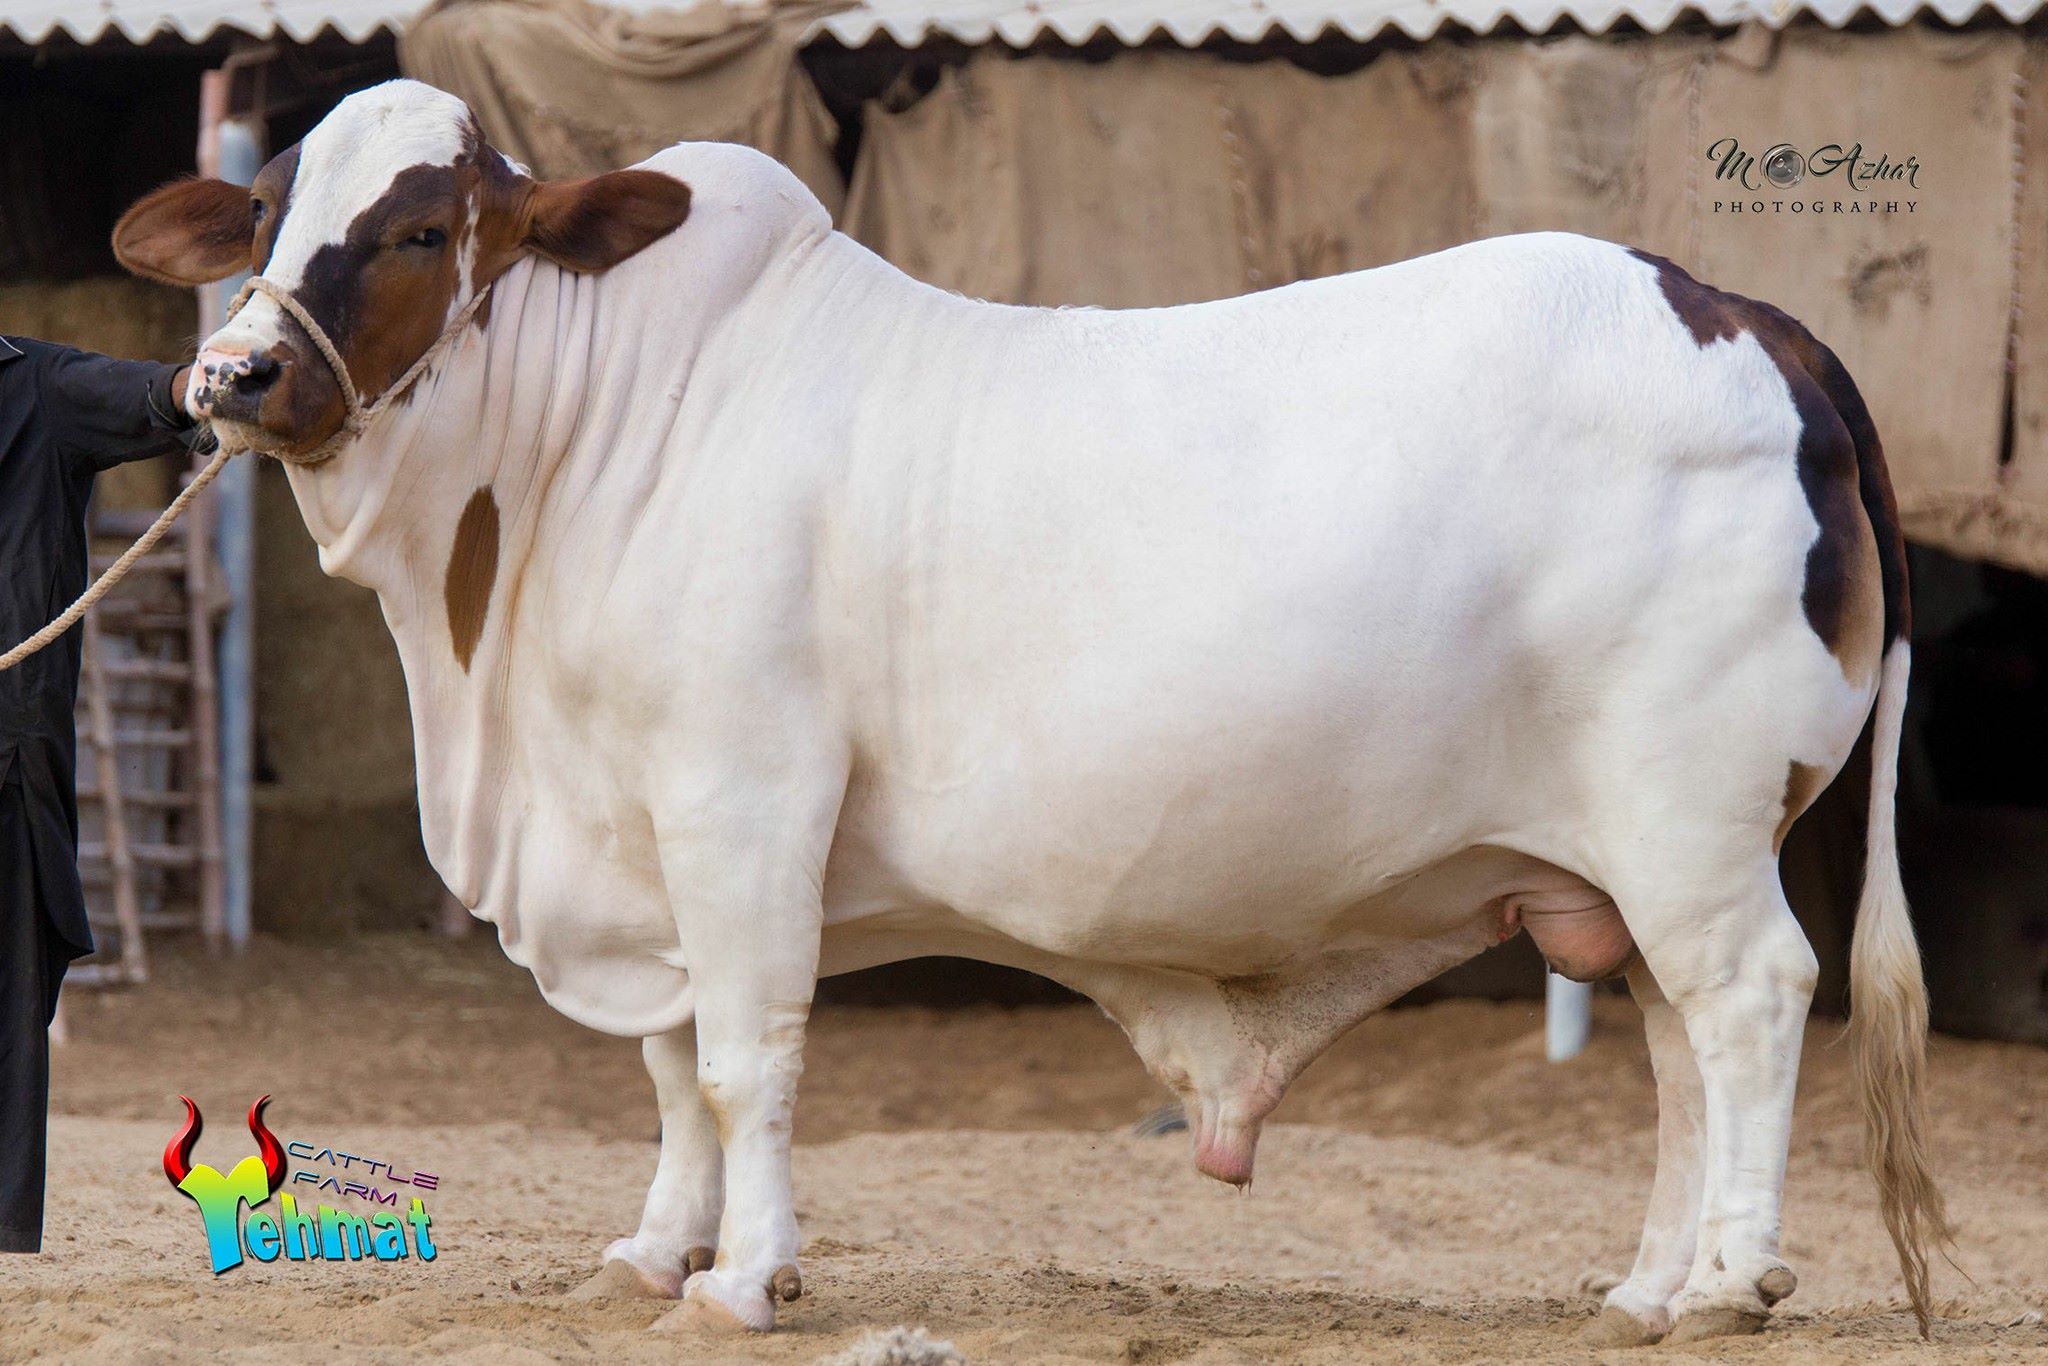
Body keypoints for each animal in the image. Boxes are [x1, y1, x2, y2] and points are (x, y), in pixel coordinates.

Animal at [113, 78, 1949, 1343]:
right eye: (261, 219)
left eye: (423, 229)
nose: (232, 378)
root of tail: (1748, 315)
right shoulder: (639, 838)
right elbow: (666, 1066)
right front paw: (655, 1249)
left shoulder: (738, 803)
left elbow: (742, 1056)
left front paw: (747, 1277)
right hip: (1618, 866)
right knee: (1674, 1051)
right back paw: (1643, 1287)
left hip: (1693, 822)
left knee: (1751, 1005)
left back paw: (1727, 1280)